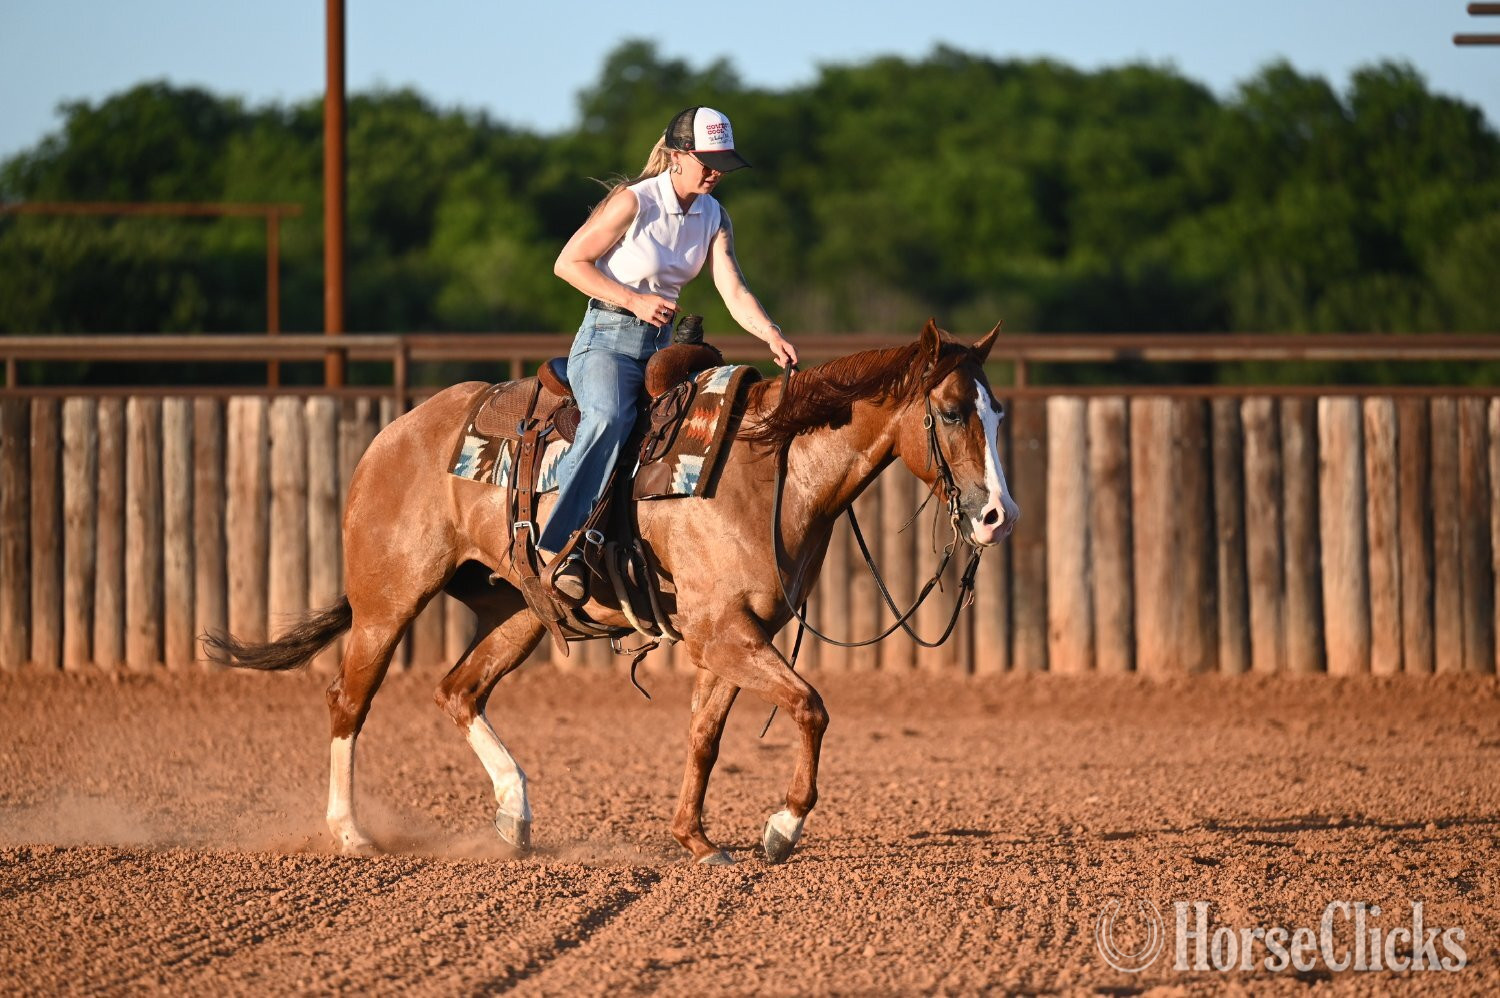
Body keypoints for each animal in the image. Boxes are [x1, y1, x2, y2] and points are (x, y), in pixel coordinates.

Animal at [205, 320, 1019, 865]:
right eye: (952, 412)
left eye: (998, 412)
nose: (997, 517)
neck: (767, 466)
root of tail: (394, 433)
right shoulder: (725, 633)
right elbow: (810, 707)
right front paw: (782, 828)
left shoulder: (731, 636)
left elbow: (705, 736)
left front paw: (697, 840)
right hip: (388, 601)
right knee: (349, 701)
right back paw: (349, 833)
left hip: (519, 611)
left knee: (458, 690)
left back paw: (514, 814)